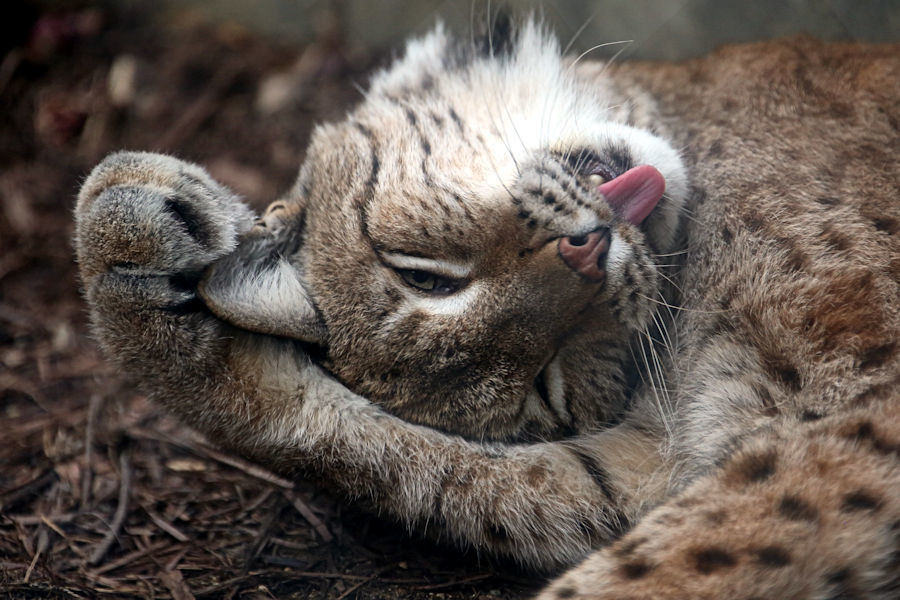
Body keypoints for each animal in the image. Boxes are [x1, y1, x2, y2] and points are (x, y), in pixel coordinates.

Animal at [77, 19, 900, 600]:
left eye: (424, 277)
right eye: (548, 379)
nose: (588, 255)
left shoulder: (870, 405)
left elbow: (669, 566)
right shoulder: (657, 462)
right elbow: (443, 477)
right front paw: (141, 302)